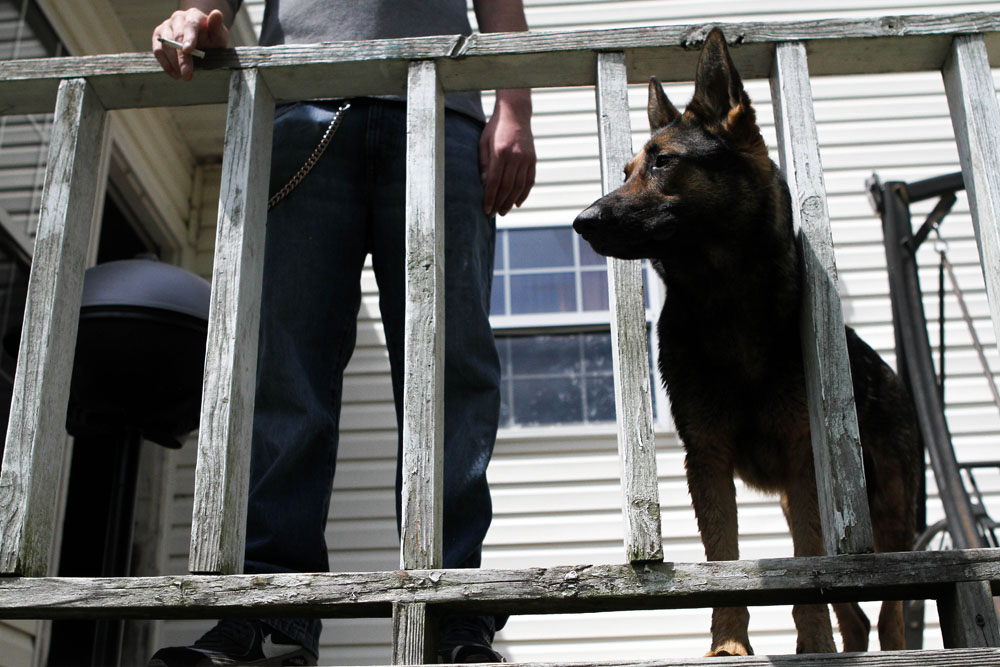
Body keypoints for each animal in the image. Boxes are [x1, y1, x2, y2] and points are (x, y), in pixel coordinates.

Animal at [572, 28, 920, 656]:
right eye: (630, 168)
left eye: (663, 162)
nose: (582, 222)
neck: (724, 300)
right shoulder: (707, 458)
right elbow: (724, 563)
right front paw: (728, 646)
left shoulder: (803, 458)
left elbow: (809, 570)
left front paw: (812, 646)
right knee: (858, 616)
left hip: (889, 510)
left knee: (891, 612)